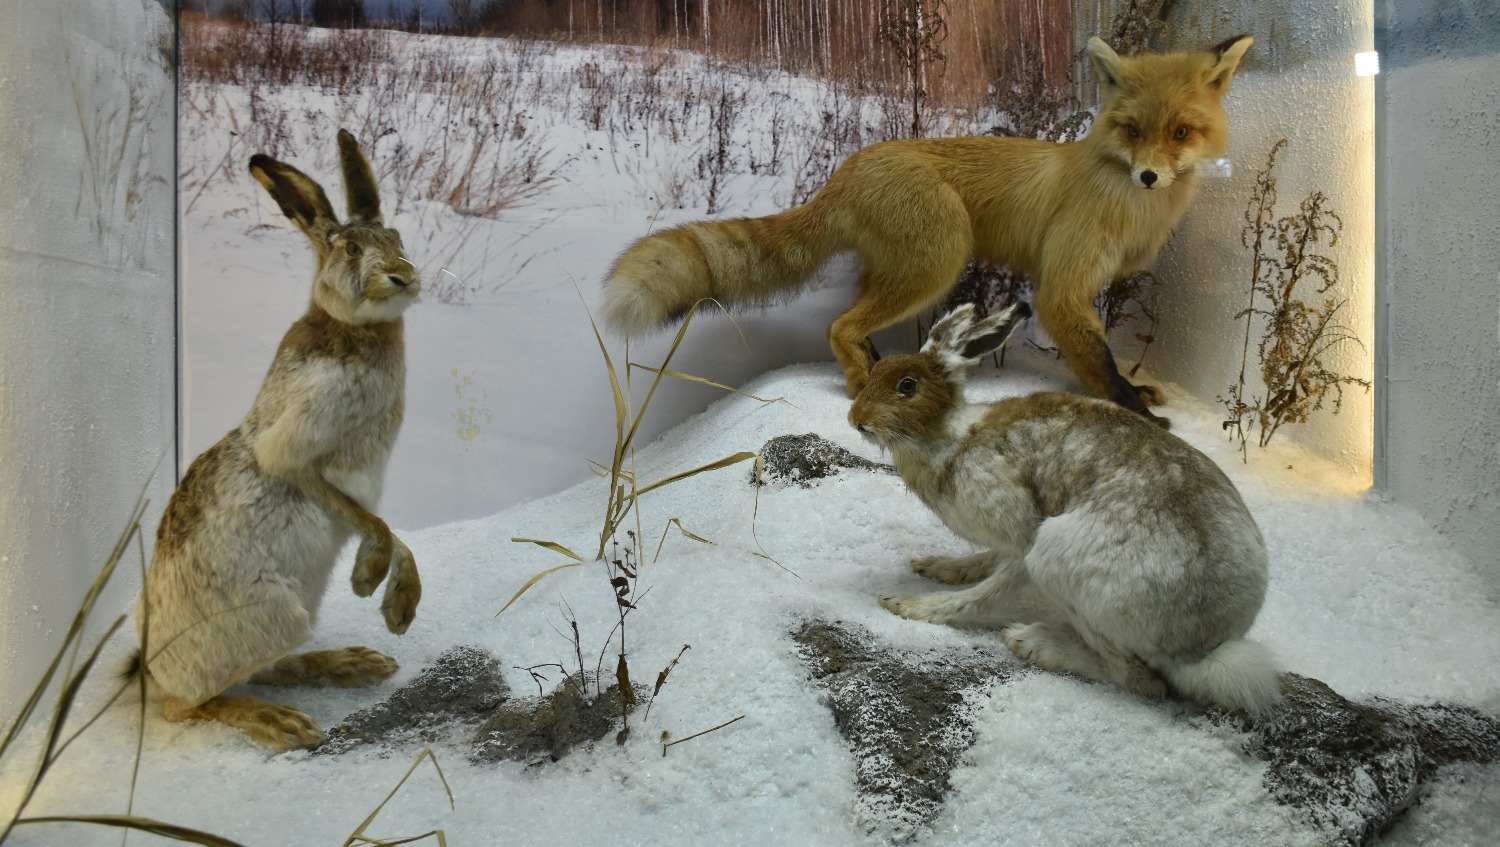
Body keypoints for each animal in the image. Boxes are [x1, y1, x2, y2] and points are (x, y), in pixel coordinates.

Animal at [132, 129, 422, 750]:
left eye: (397, 238)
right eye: (350, 250)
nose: (403, 276)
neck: (354, 328)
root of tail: (150, 670)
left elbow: (389, 528)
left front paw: (392, 607)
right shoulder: (297, 450)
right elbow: (374, 522)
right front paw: (373, 583)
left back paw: (353, 663)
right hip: (273, 619)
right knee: (187, 707)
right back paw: (278, 721)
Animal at [603, 34, 1253, 426]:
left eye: (1180, 132)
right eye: (1133, 129)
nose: (1149, 175)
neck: (1122, 196)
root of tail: (848, 168)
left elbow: (1098, 358)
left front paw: (1138, 398)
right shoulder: (1064, 288)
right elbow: (1101, 362)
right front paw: (1136, 411)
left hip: (900, 270)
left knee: (856, 320)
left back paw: (877, 366)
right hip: (938, 263)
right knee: (840, 325)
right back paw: (859, 381)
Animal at [848, 302, 1280, 715]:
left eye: (907, 386)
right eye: (876, 371)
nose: (856, 419)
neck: (948, 436)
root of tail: (1204, 646)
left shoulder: (1023, 532)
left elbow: (989, 589)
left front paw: (913, 605)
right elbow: (987, 560)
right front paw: (939, 567)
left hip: (1058, 562)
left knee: (1142, 681)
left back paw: (1034, 642)